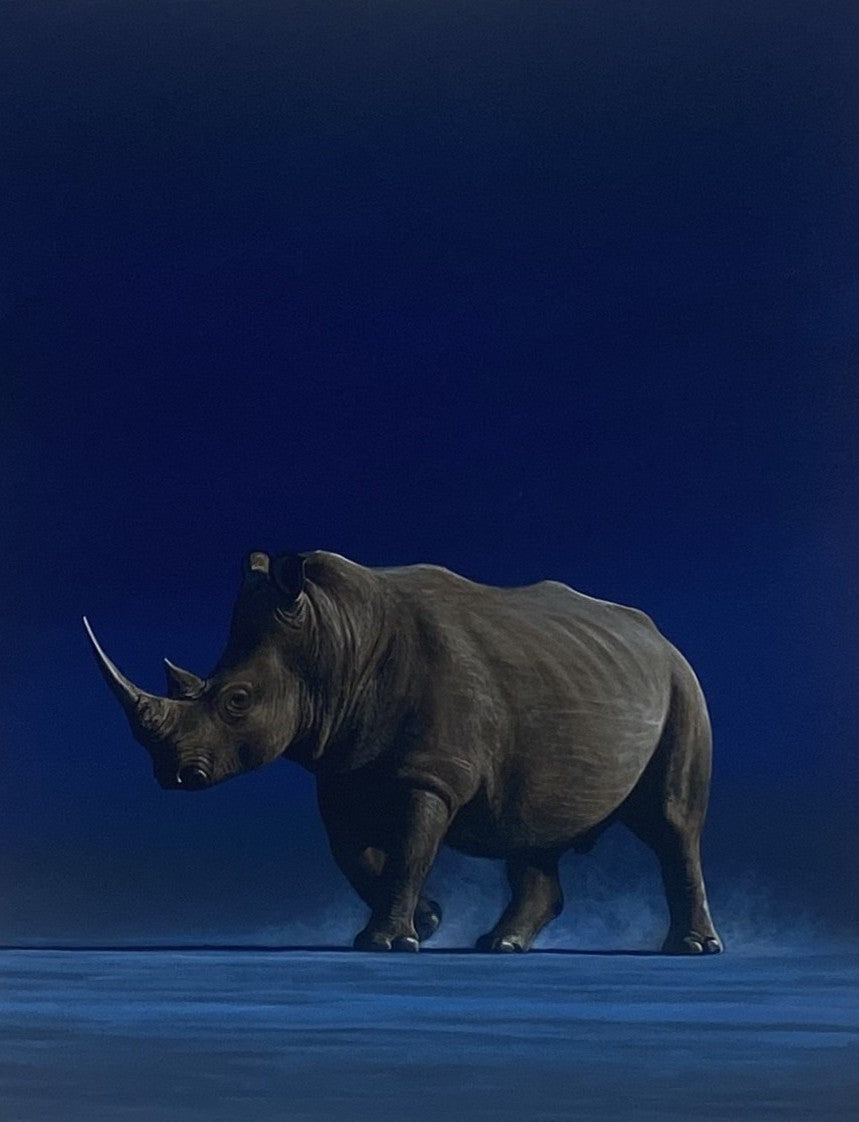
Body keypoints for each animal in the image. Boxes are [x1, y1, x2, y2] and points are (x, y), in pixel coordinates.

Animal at [85, 549, 723, 955]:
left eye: (237, 701)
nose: (171, 774)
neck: (335, 639)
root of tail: (660, 637)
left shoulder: (431, 773)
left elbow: (411, 848)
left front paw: (389, 941)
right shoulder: (343, 769)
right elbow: (355, 854)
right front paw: (429, 920)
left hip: (681, 686)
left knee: (671, 823)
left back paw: (692, 949)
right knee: (530, 825)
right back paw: (500, 945)